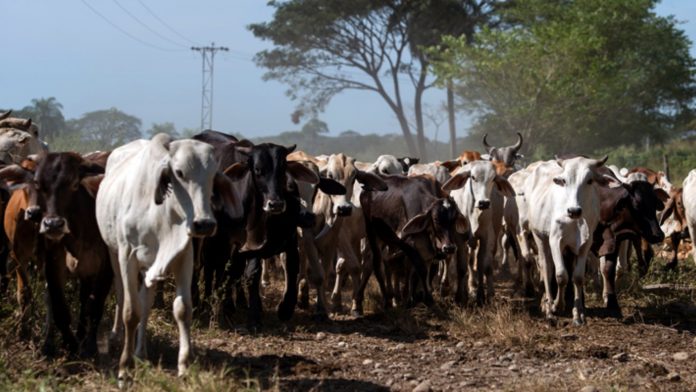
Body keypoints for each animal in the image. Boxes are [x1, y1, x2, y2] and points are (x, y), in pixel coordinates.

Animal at [444, 159, 512, 304]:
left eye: (493, 179)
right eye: (473, 177)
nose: (484, 203)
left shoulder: (487, 236)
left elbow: (483, 265)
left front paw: (482, 296)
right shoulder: (459, 237)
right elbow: (462, 267)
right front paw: (460, 297)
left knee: (483, 263)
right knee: (469, 261)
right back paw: (470, 287)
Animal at [528, 156, 608, 324]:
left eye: (590, 180)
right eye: (564, 181)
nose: (574, 211)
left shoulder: (585, 244)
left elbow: (577, 277)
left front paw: (578, 313)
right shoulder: (555, 240)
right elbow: (561, 275)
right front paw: (557, 306)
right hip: (539, 237)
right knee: (546, 268)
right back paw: (548, 307)